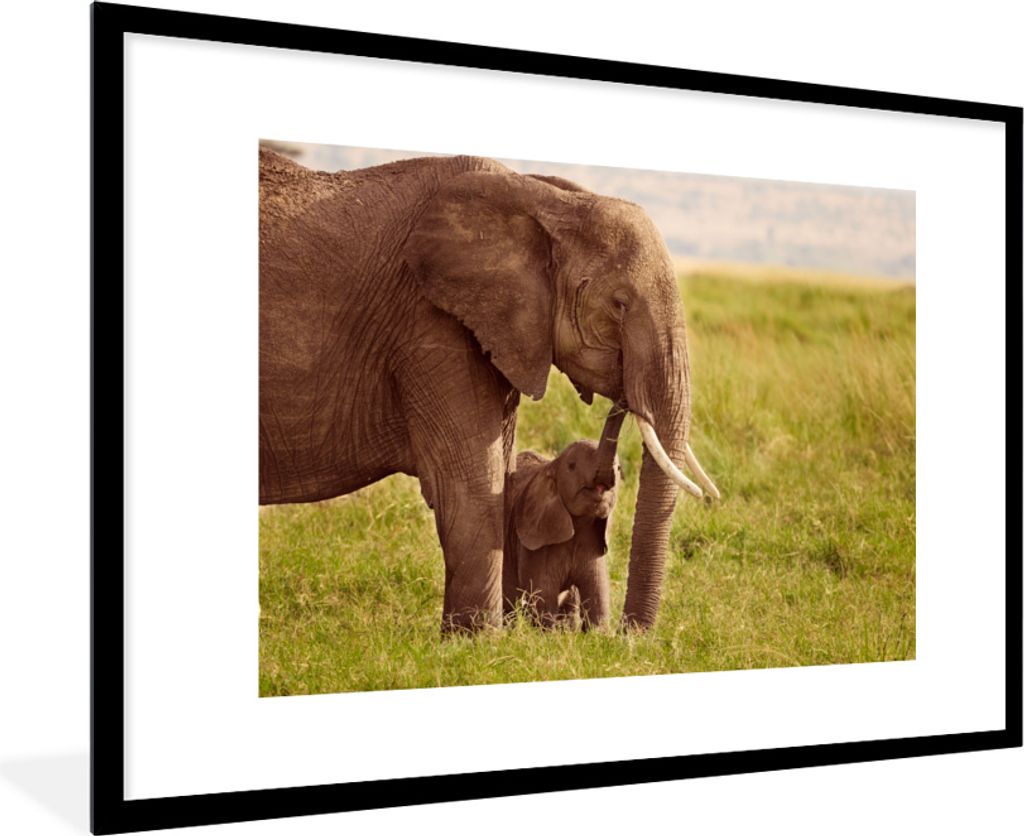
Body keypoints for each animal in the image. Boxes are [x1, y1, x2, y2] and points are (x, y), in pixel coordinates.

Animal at [505, 406, 625, 630]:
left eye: (619, 469)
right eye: (571, 466)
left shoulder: (593, 543)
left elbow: (597, 598)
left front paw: (598, 634)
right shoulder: (536, 545)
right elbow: (543, 597)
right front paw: (548, 634)